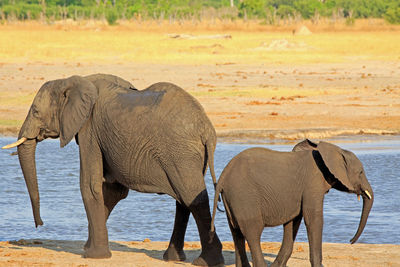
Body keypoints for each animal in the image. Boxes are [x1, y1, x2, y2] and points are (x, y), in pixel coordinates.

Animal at [1, 74, 223, 266]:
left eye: (36, 112)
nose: (39, 224)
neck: (74, 80)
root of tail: (207, 129)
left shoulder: (89, 129)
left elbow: (90, 186)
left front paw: (93, 256)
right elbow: (113, 191)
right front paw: (87, 248)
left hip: (179, 153)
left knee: (193, 198)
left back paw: (207, 261)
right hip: (187, 156)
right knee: (183, 200)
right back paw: (173, 258)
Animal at [211, 140, 374, 267]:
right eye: (360, 172)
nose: (350, 241)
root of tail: (224, 175)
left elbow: (292, 222)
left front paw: (278, 266)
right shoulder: (312, 184)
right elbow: (313, 219)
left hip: (232, 198)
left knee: (236, 233)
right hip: (244, 196)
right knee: (253, 232)